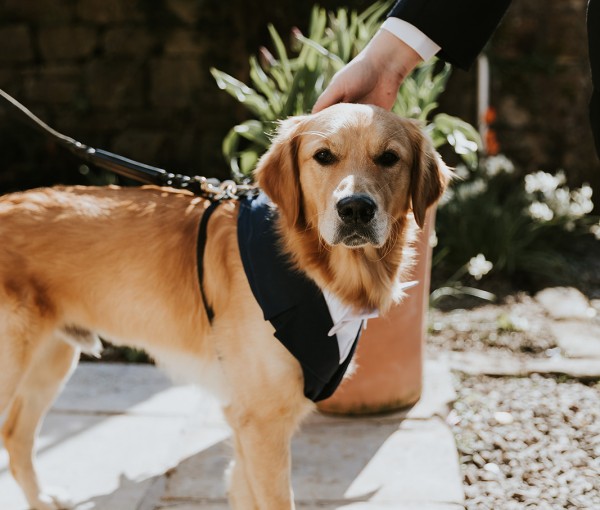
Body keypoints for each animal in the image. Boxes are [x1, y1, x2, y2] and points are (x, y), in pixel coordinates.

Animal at [0, 101, 450, 508]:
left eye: (389, 158)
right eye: (323, 156)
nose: (355, 208)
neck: (314, 271)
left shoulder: (247, 422)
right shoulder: (262, 421)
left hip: (52, 359)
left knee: (17, 437)